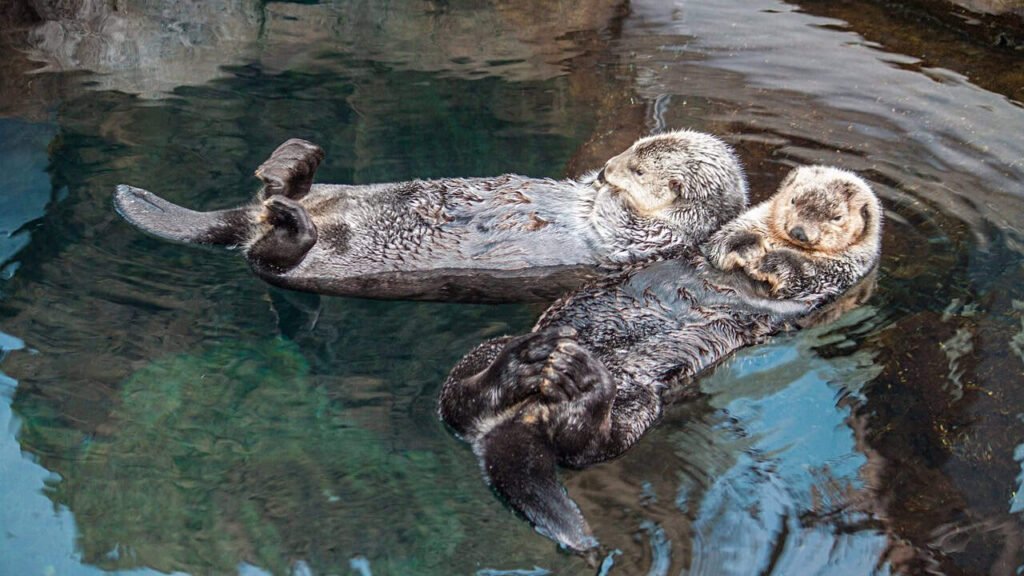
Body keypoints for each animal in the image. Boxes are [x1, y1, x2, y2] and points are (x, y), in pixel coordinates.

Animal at [113, 130, 748, 302]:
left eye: (639, 167)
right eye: (637, 146)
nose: (611, 166)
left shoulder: (646, 240)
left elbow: (623, 223)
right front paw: (591, 178)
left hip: (300, 266)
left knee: (269, 258)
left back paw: (291, 213)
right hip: (326, 194)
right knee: (275, 201)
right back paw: (291, 166)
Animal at [703, 165, 883, 300]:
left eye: (837, 217)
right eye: (793, 200)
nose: (799, 232)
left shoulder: (843, 269)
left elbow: (811, 276)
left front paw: (768, 263)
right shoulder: (754, 219)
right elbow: (723, 238)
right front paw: (746, 248)